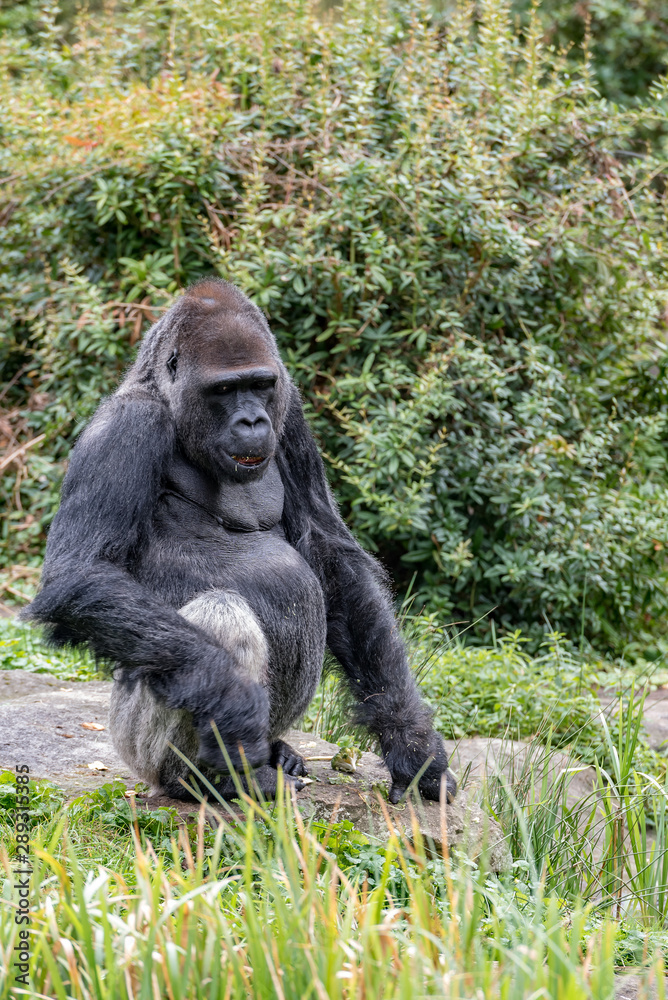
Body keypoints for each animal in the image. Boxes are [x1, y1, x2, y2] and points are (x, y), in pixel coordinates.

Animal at [24, 280, 454, 804]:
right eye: (225, 390)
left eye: (260, 385)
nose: (251, 422)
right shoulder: (127, 425)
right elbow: (80, 576)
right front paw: (231, 699)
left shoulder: (291, 413)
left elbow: (331, 559)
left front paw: (412, 746)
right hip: (132, 746)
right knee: (221, 615)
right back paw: (219, 778)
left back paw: (279, 753)